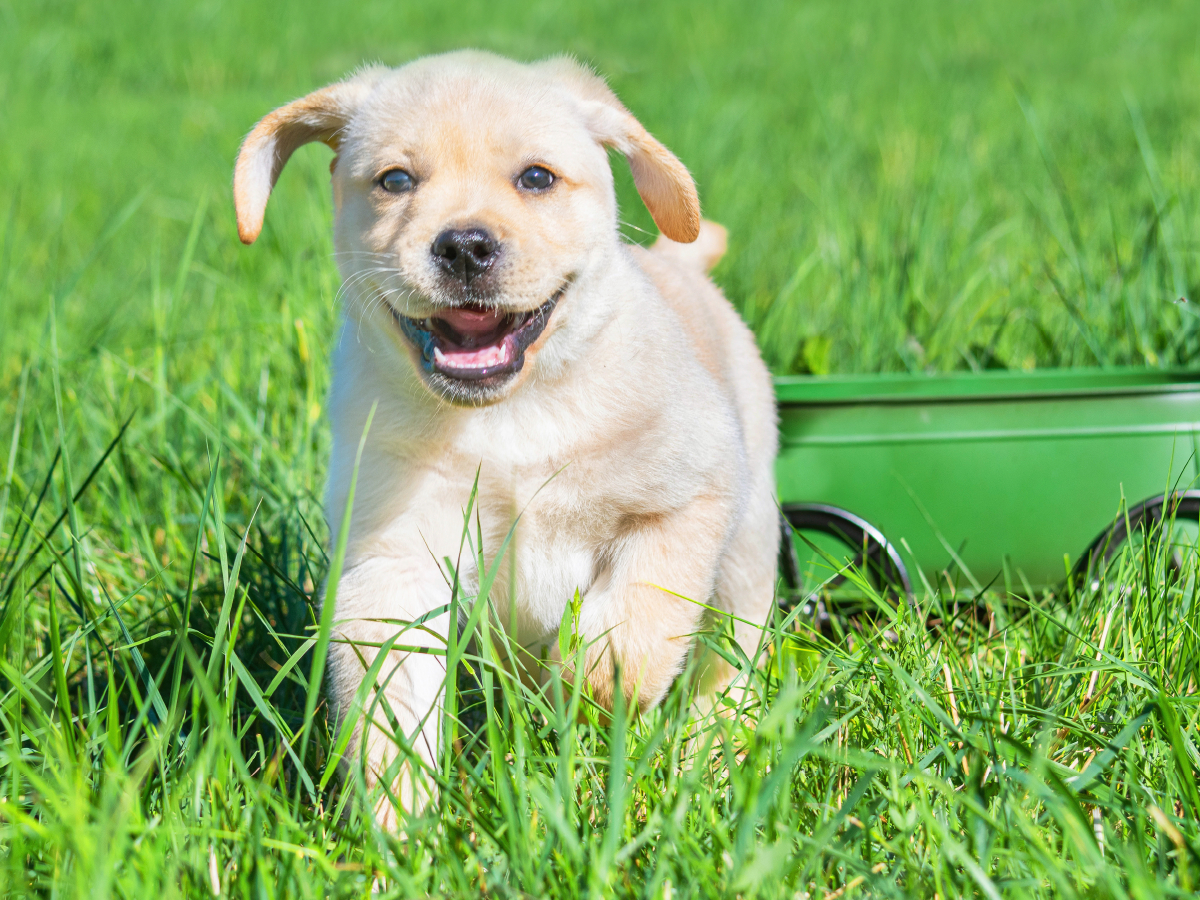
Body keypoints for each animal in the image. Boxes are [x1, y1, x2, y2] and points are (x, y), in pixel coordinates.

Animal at [234, 47, 777, 825]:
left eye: (537, 178)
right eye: (396, 180)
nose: (464, 245)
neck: (512, 417)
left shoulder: (691, 494)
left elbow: (636, 625)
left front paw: (585, 691)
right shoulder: (393, 560)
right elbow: (389, 707)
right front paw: (401, 828)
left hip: (747, 551)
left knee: (727, 663)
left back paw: (714, 753)